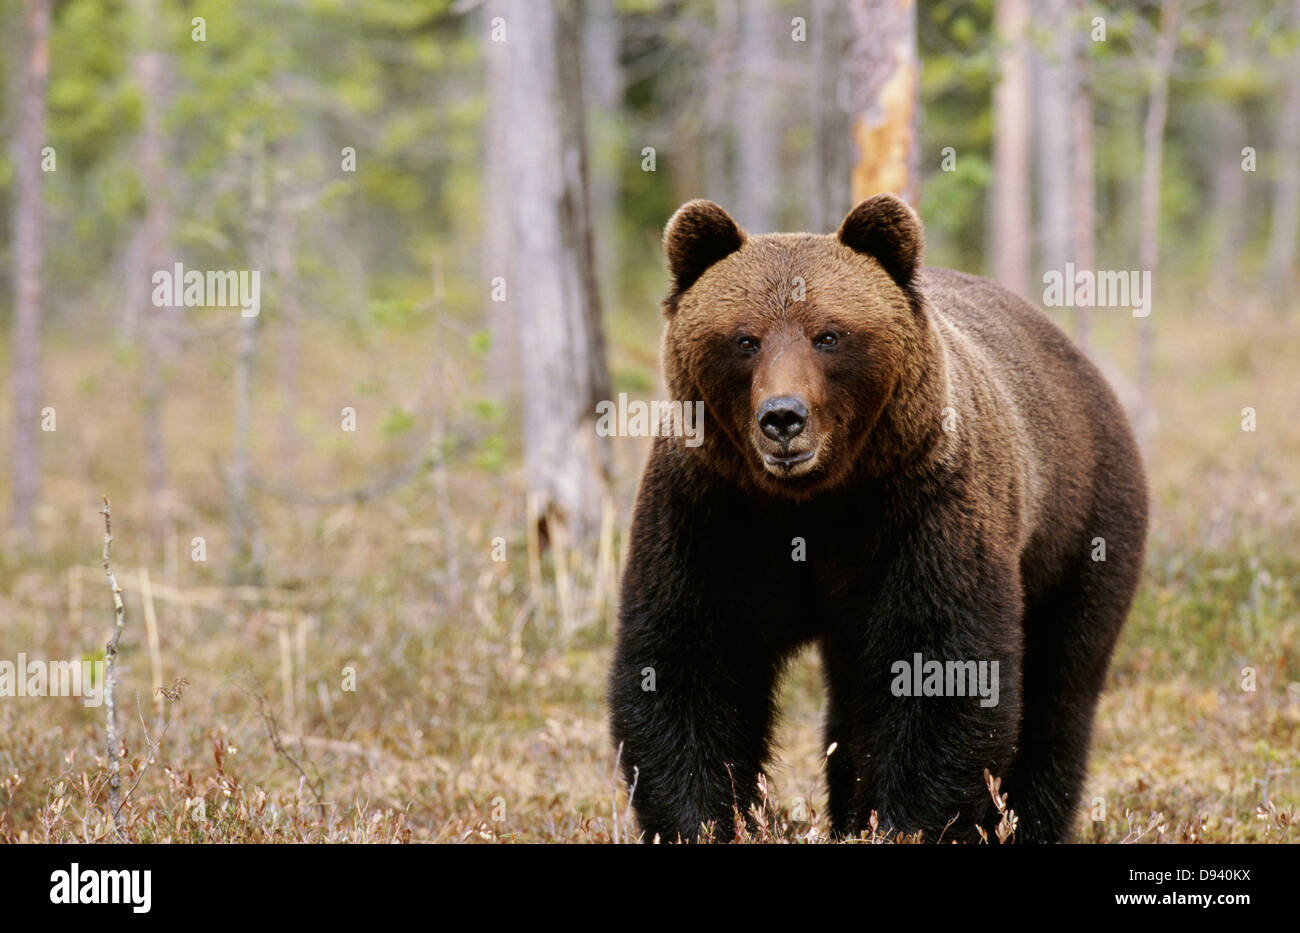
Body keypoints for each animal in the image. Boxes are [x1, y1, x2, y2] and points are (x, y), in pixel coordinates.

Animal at [607, 194, 1148, 843]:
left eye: (829, 335)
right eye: (744, 339)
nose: (783, 418)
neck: (813, 499)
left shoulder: (922, 510)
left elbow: (938, 672)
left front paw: (904, 822)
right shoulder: (712, 512)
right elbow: (687, 663)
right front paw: (708, 821)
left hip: (1080, 529)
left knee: (1059, 687)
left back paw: (1028, 819)